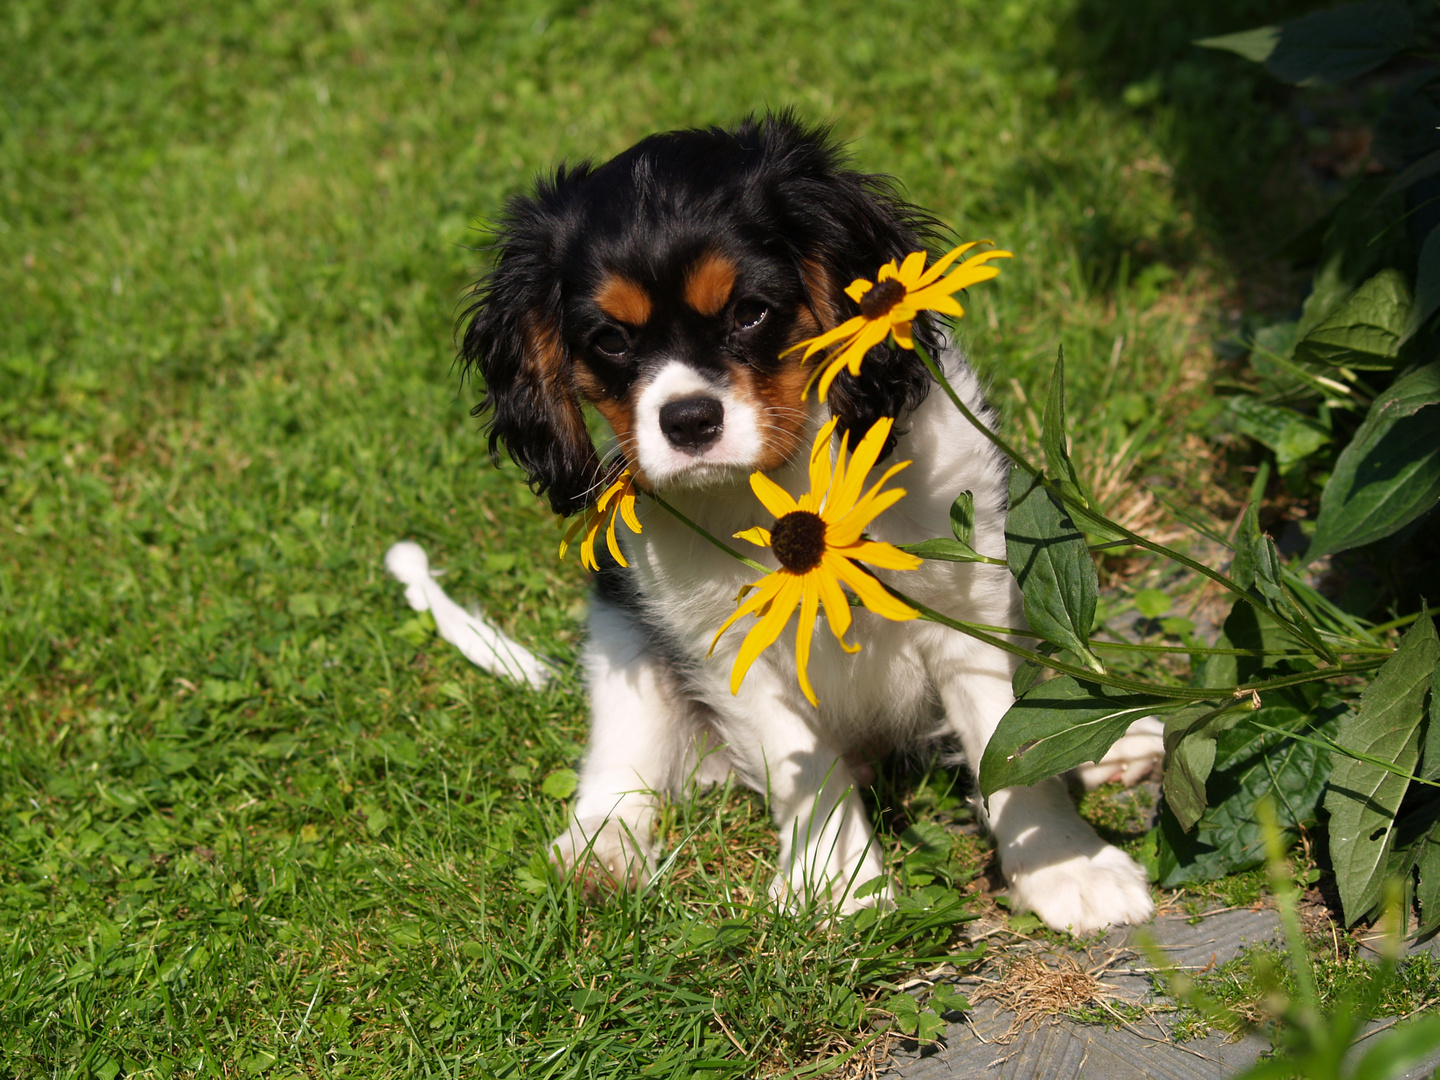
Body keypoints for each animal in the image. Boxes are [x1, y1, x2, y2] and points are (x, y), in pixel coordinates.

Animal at [460, 114, 1157, 933]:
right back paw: (599, 849)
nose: (687, 419)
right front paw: (838, 885)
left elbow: (1007, 740)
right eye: (610, 341)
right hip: (620, 633)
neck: (785, 482)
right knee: (622, 757)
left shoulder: (967, 600)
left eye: (749, 313)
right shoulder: (728, 644)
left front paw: (1063, 865)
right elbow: (802, 764)